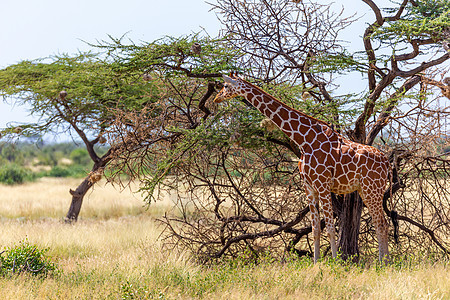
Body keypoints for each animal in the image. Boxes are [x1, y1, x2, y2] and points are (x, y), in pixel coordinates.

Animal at [214, 72, 394, 262]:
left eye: (225, 86)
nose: (217, 98)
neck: (304, 140)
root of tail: (386, 162)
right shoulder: (309, 187)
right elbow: (315, 229)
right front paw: (316, 263)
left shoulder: (323, 185)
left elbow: (330, 228)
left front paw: (335, 263)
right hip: (366, 190)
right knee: (381, 223)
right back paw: (385, 261)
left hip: (372, 189)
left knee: (381, 223)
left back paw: (384, 262)